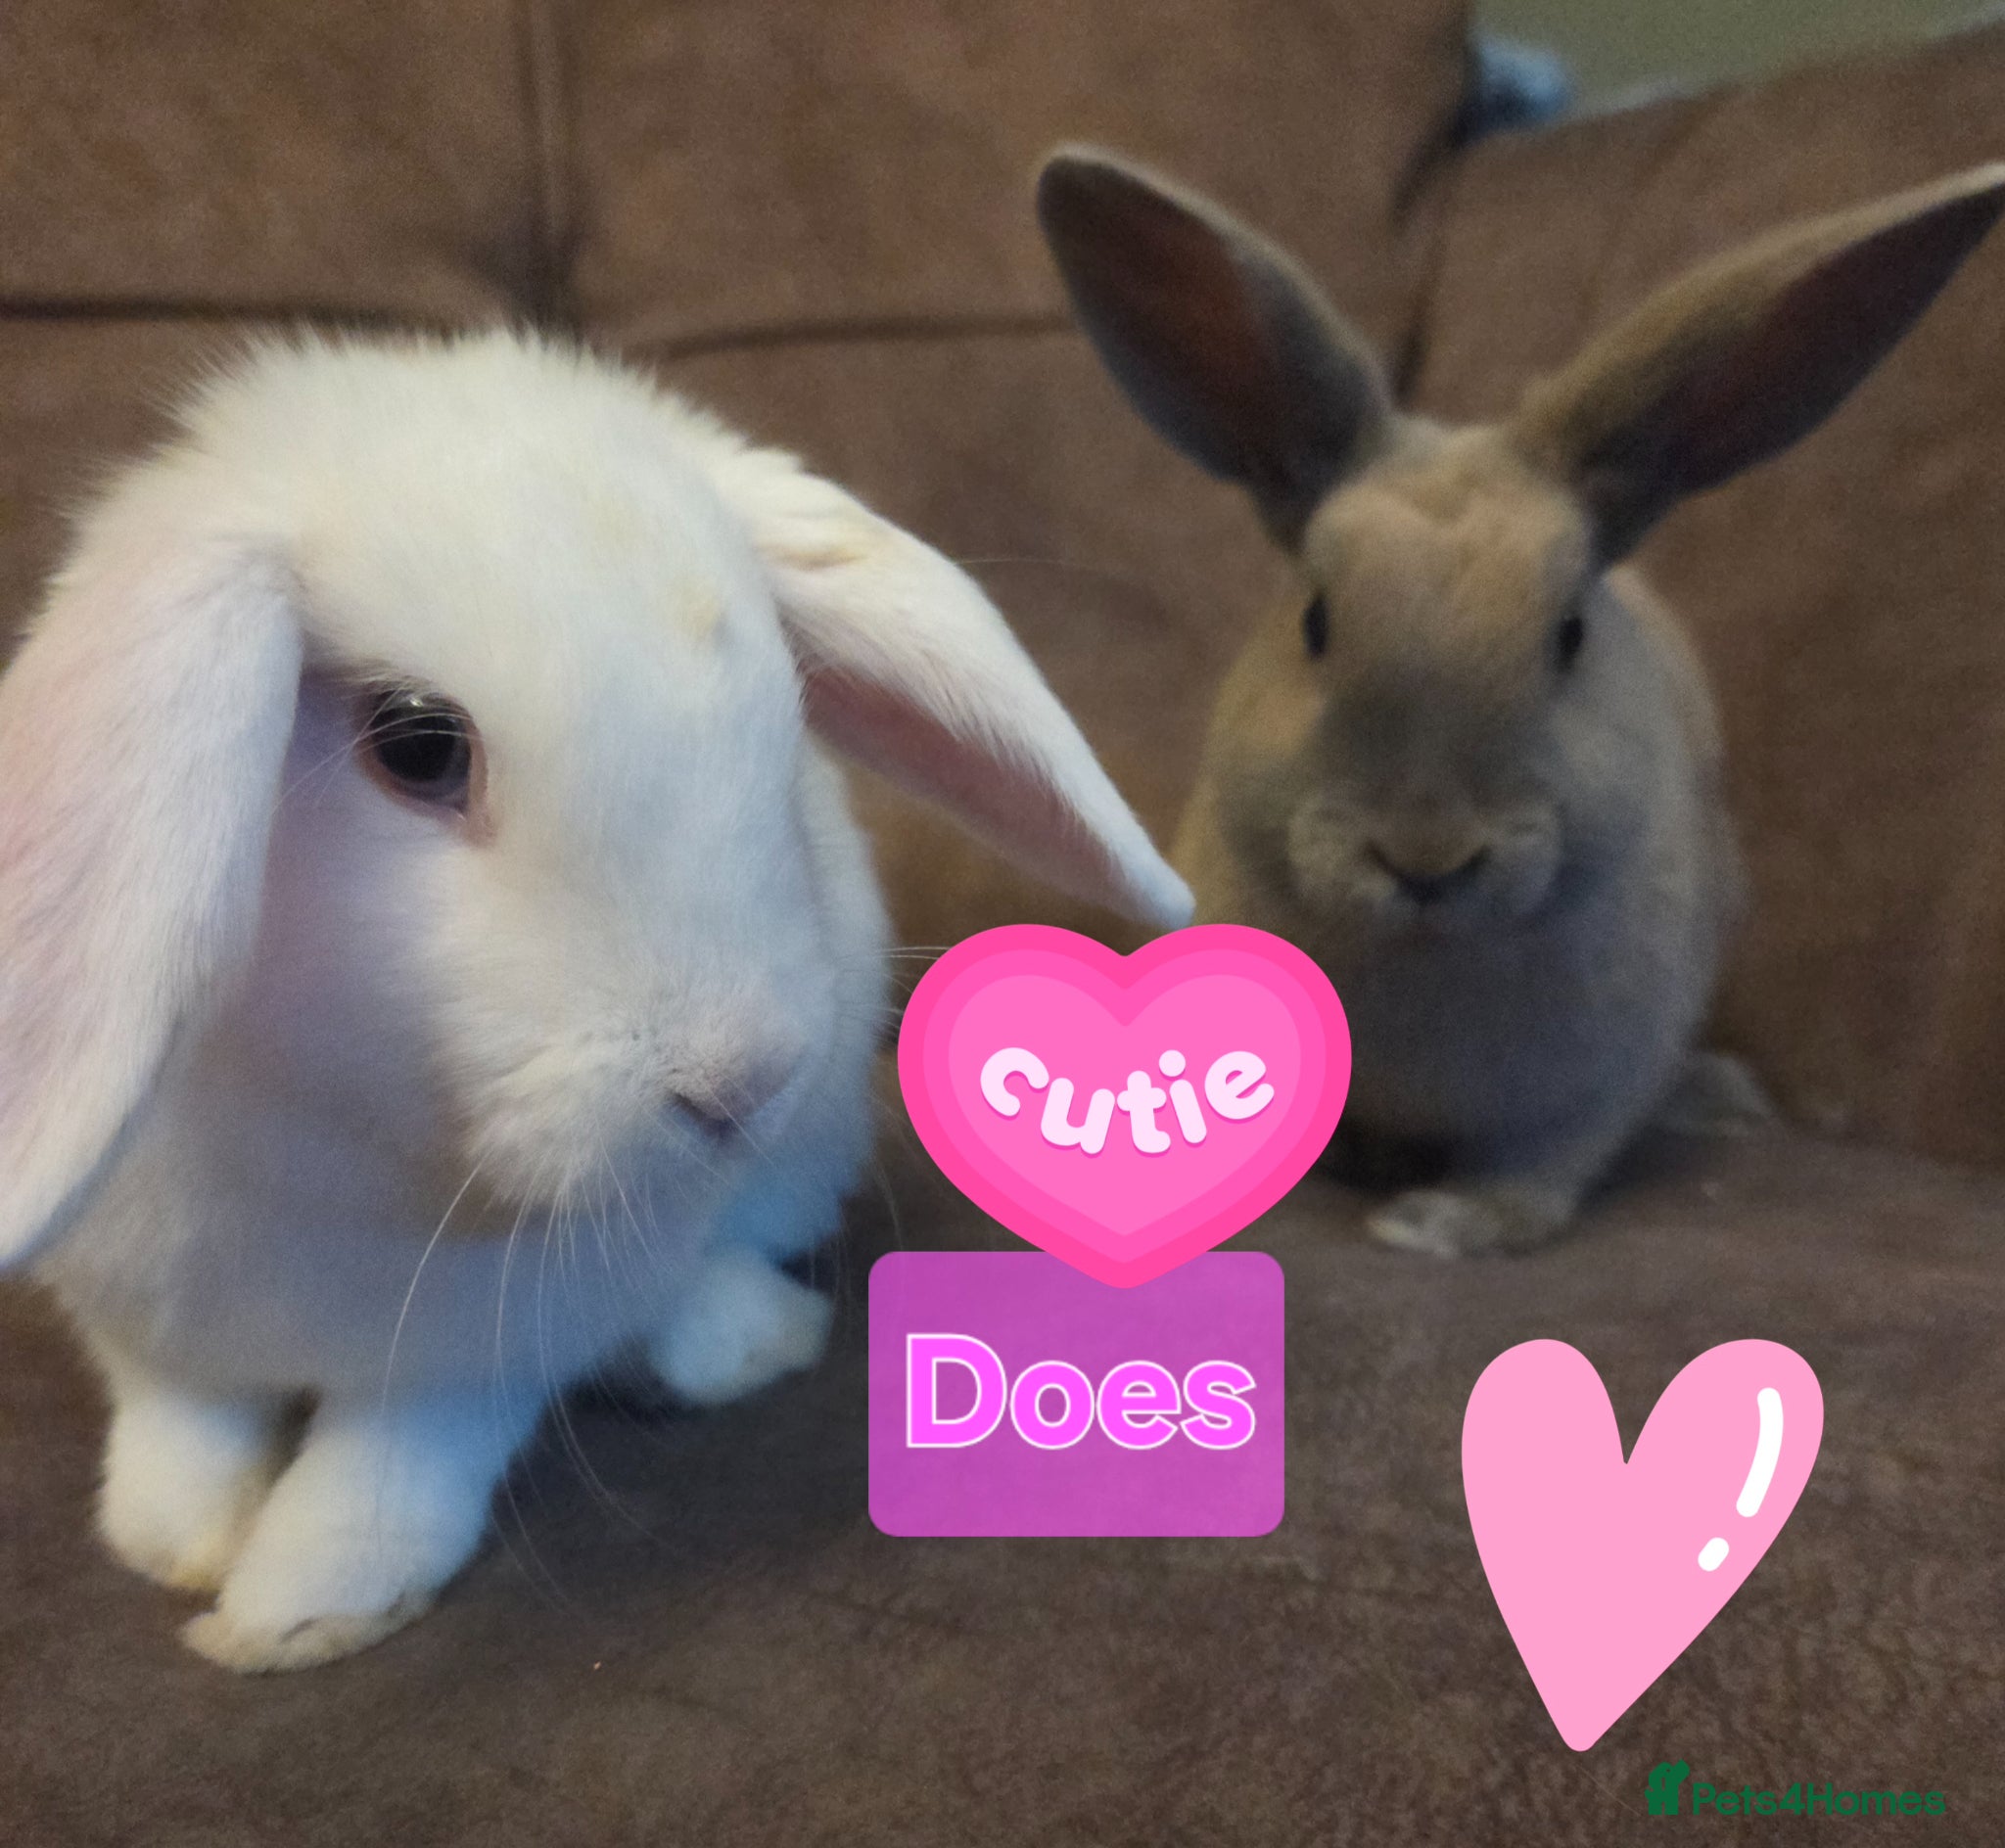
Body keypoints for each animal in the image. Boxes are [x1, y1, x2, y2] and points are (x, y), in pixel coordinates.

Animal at [0, 329, 1192, 1670]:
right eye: (417, 745)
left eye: (785, 723)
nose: (738, 1084)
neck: (340, 1128)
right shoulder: (143, 1314)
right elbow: (179, 1424)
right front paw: (174, 1542)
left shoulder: (479, 1351)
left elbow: (393, 1466)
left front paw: (294, 1612)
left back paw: (740, 1339)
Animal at [1038, 147, 2005, 1257]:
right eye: (1315, 620)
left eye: (1569, 635)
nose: (1426, 858)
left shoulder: (1591, 1088)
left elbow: (1535, 1173)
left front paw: (1434, 1226)